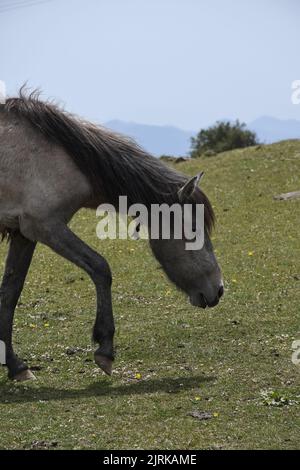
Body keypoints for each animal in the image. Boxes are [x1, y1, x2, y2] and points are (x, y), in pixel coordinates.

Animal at [0, 91, 223, 382]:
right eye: (194, 230)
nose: (218, 290)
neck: (58, 155)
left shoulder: (24, 233)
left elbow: (10, 292)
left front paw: (15, 365)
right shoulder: (46, 226)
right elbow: (100, 267)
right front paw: (105, 349)